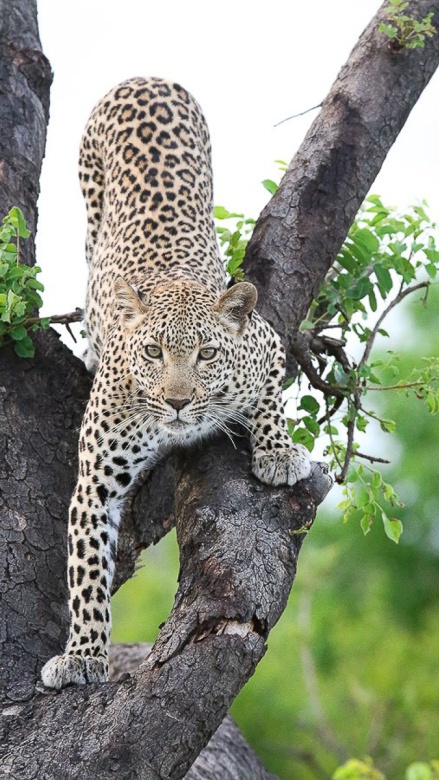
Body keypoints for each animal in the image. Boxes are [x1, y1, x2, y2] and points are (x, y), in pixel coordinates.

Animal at [40, 76, 311, 689]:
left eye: (206, 353)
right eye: (152, 352)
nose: (179, 402)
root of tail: (143, 77)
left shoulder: (267, 342)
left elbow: (271, 398)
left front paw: (279, 455)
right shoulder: (94, 483)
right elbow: (86, 573)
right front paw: (82, 655)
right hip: (90, 206)